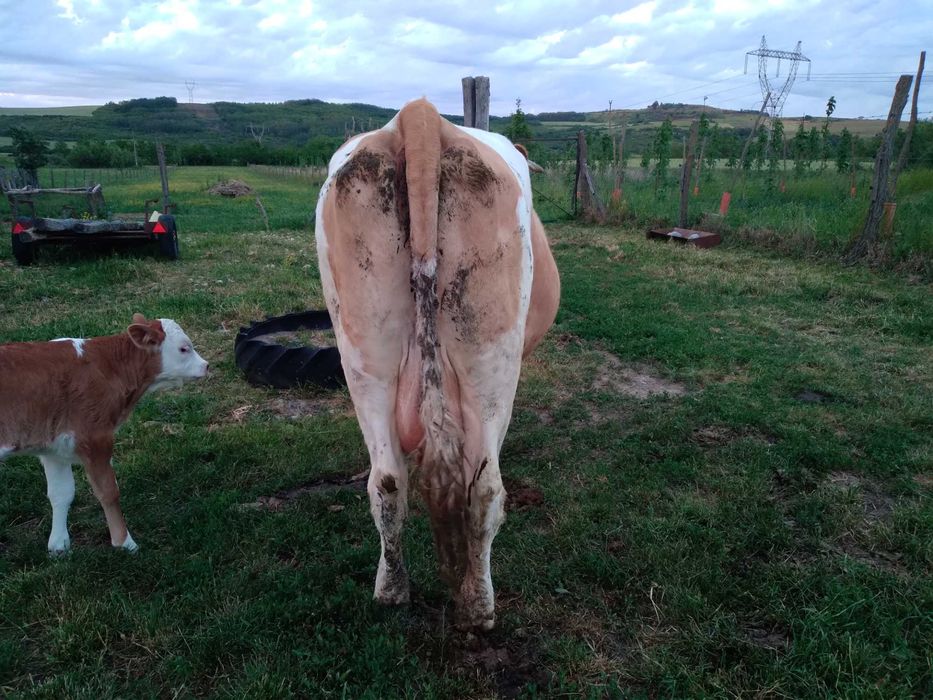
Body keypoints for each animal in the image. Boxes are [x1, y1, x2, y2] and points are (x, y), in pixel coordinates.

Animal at [0, 315, 208, 554]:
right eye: (184, 348)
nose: (206, 365)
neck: (107, 368)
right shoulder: (95, 438)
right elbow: (108, 491)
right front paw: (124, 542)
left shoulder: (54, 447)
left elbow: (61, 493)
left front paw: (59, 545)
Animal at [315, 98, 559, 630]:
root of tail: (420, 115)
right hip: (490, 359)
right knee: (484, 488)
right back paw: (479, 606)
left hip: (363, 352)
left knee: (387, 481)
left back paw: (391, 591)